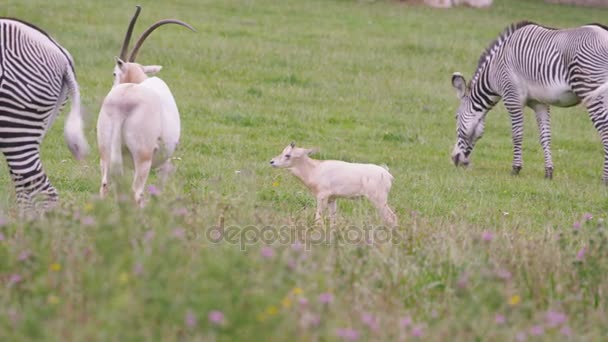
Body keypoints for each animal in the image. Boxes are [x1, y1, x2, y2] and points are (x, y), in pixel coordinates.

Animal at [452, 20, 608, 183]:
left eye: (456, 117)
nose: (455, 159)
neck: (493, 72)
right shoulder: (540, 103)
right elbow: (545, 137)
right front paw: (548, 172)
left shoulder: (511, 97)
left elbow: (517, 134)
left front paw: (515, 169)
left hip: (590, 89)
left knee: (605, 130)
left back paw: (604, 179)